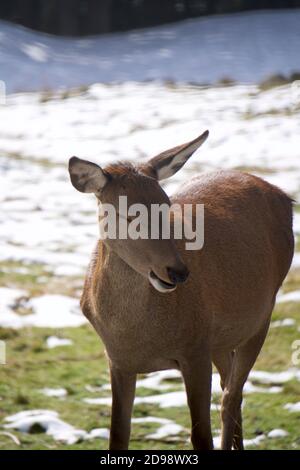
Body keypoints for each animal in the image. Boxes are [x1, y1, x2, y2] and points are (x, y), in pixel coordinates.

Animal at [67, 130, 292, 450]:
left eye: (166, 204)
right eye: (127, 213)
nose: (178, 271)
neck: (137, 335)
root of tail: (285, 196)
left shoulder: (195, 348)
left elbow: (201, 436)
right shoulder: (118, 361)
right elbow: (118, 435)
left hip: (261, 317)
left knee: (230, 397)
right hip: (222, 338)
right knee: (231, 391)